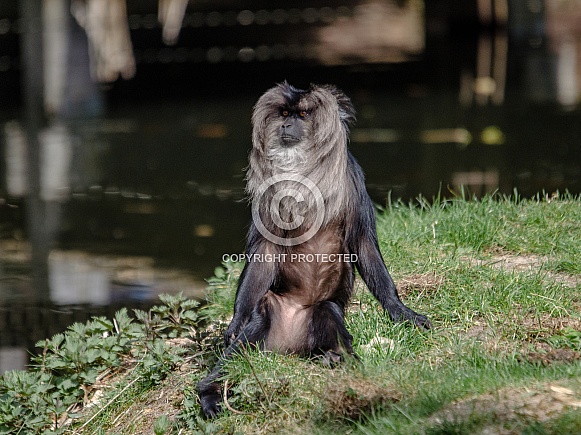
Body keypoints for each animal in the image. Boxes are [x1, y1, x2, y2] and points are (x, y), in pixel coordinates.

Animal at [197, 82, 428, 418]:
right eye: (284, 113)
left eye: (303, 115)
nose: (286, 126)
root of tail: (287, 349)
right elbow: (265, 252)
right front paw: (236, 320)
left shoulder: (351, 177)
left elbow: (364, 244)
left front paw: (400, 311)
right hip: (267, 320)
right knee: (248, 334)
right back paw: (209, 393)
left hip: (321, 314)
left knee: (329, 312)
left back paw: (336, 358)